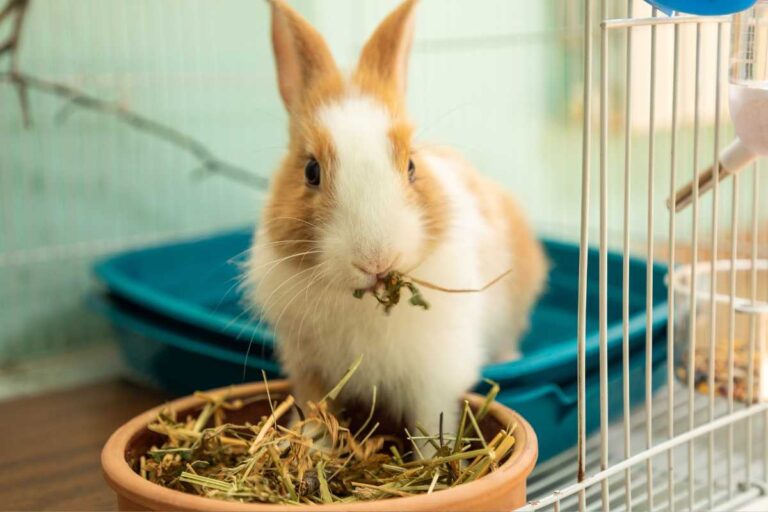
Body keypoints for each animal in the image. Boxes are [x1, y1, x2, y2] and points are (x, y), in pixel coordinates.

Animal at [245, 0, 547, 444]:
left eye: (411, 166)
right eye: (311, 171)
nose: (376, 260)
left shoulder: (434, 378)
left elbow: (430, 430)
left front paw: (435, 460)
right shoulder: (311, 372)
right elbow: (317, 420)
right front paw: (316, 450)